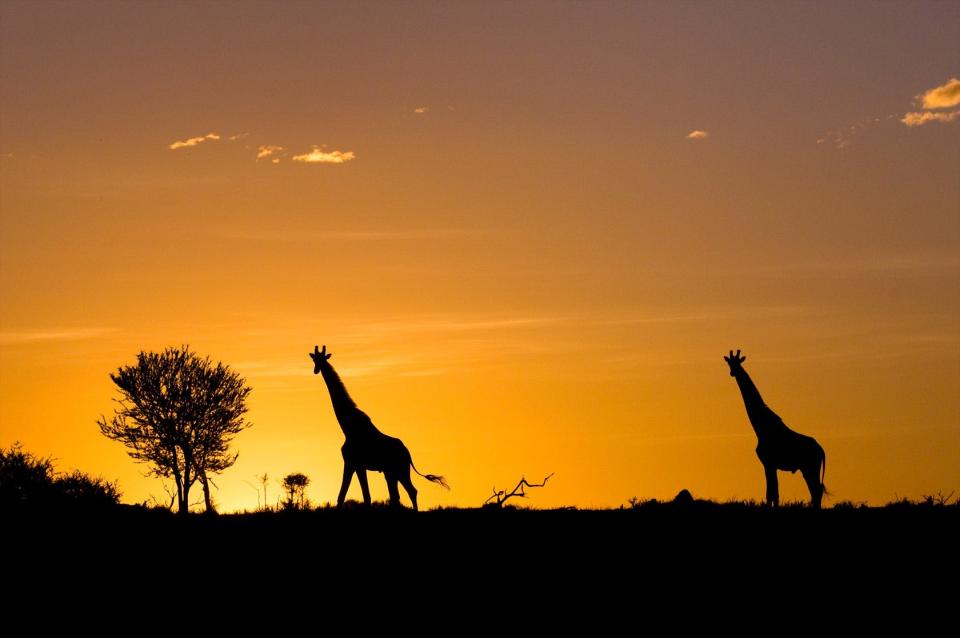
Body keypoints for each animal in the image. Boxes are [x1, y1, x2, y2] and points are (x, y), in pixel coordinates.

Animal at [308, 344, 450, 510]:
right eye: (314, 359)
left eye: (321, 359)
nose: (316, 370)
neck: (348, 427)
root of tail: (407, 453)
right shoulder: (358, 465)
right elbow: (360, 496)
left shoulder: (352, 462)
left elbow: (347, 496)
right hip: (391, 472)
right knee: (399, 494)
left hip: (399, 469)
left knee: (410, 491)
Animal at [728, 350, 824, 510]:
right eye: (729, 363)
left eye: (738, 363)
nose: (732, 372)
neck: (762, 427)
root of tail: (821, 450)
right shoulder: (771, 465)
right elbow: (774, 492)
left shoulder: (768, 463)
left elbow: (771, 493)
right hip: (808, 468)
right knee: (816, 490)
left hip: (810, 467)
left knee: (816, 490)